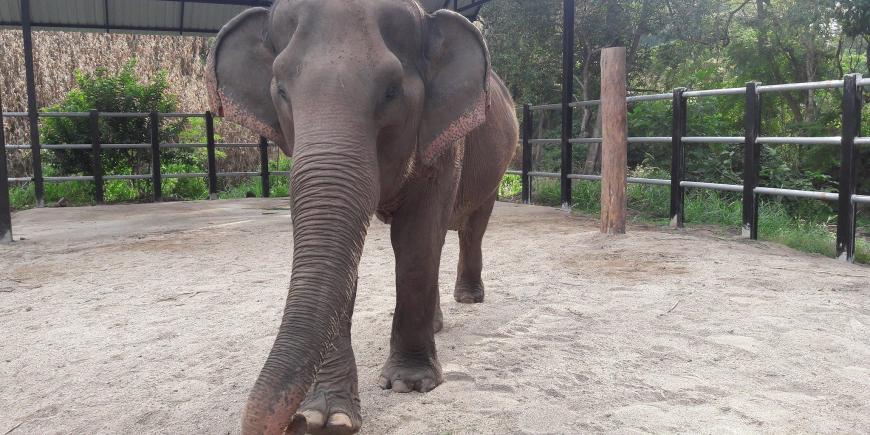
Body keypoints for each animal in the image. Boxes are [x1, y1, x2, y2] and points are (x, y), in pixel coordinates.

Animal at [206, 0, 518, 434]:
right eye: (281, 90)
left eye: (391, 91)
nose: (294, 421)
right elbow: (343, 255)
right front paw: (327, 416)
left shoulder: (443, 145)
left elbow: (416, 239)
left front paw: (409, 385)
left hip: (497, 168)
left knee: (470, 228)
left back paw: (469, 299)